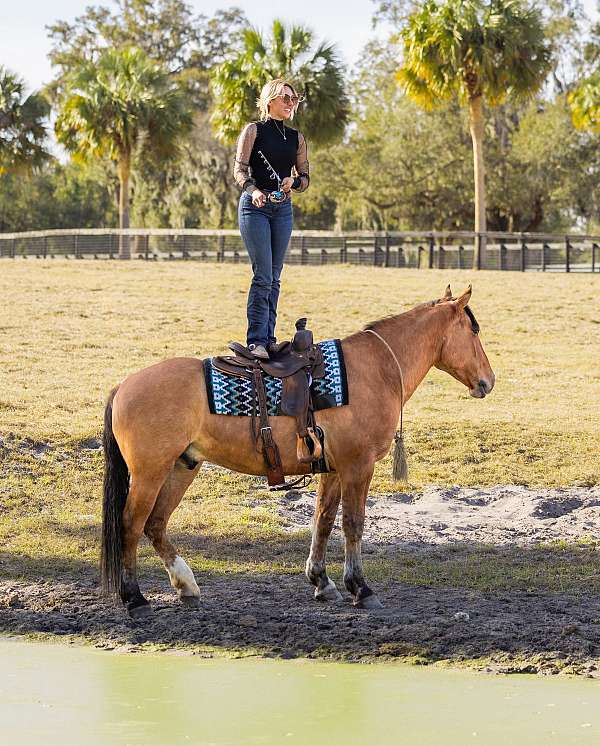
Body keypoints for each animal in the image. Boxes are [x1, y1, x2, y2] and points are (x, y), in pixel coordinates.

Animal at [101, 284, 494, 617]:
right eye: (474, 331)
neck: (376, 369)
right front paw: (360, 588)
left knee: (155, 524)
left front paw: (322, 581)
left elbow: (323, 520)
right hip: (150, 473)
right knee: (131, 524)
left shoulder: (333, 469)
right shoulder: (358, 466)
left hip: (182, 466)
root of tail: (123, 386)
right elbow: (353, 523)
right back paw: (134, 598)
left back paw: (186, 585)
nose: (489, 381)